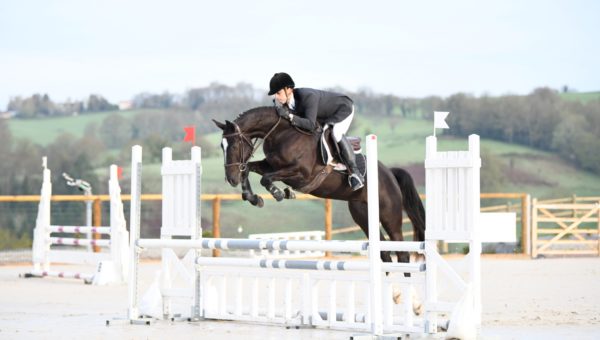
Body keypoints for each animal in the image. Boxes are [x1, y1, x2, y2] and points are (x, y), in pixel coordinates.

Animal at [212, 106, 426, 266]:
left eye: (233, 145)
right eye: (221, 146)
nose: (230, 179)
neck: (282, 133)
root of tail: (390, 173)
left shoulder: (302, 174)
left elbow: (266, 179)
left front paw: (280, 193)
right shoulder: (271, 165)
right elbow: (249, 168)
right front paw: (253, 197)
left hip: (390, 216)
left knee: (402, 253)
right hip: (363, 216)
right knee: (385, 253)